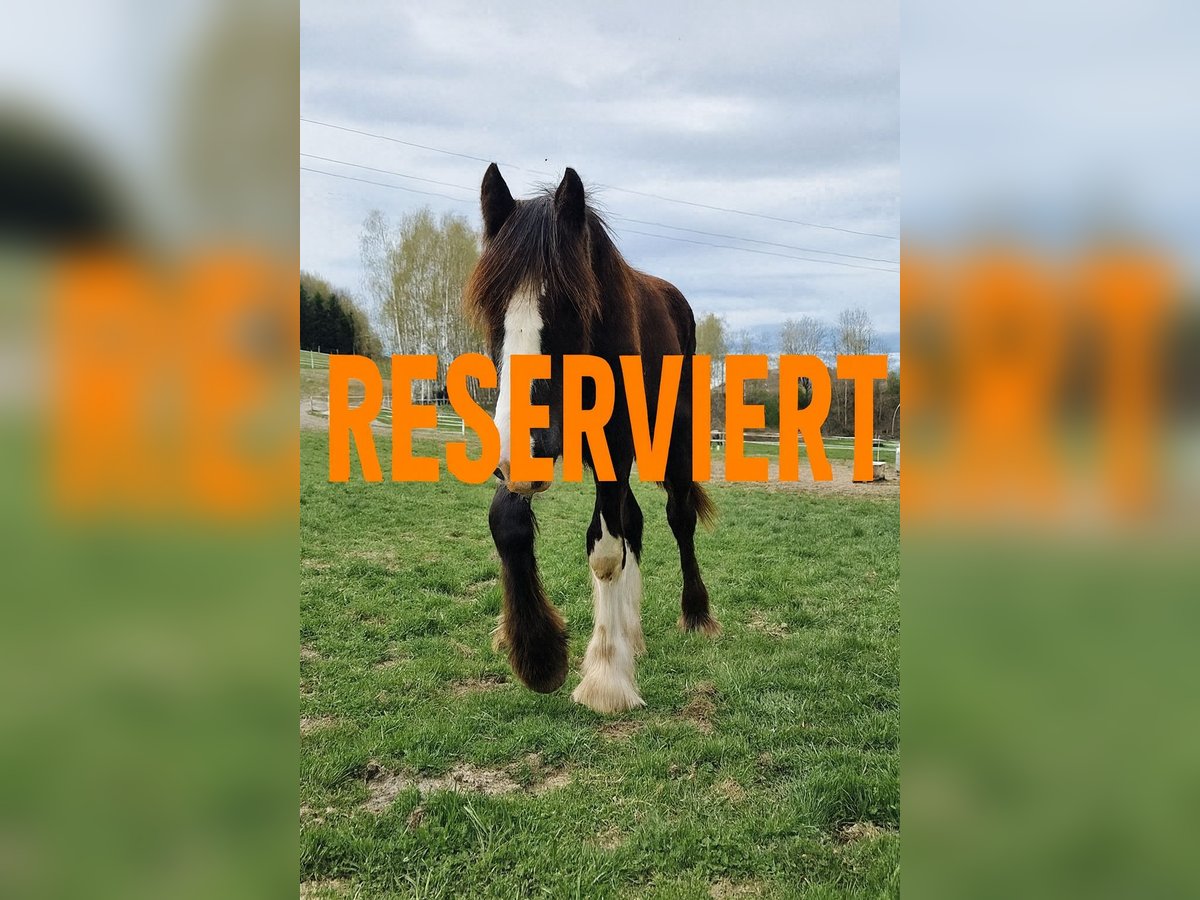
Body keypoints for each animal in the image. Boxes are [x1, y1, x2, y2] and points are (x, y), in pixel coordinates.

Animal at [464, 164, 719, 714]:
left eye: (567, 304)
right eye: (492, 305)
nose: (524, 448)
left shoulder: (613, 448)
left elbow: (604, 553)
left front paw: (605, 676)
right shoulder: (525, 456)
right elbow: (507, 522)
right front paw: (536, 651)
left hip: (672, 443)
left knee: (677, 518)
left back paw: (695, 614)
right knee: (634, 523)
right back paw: (634, 634)